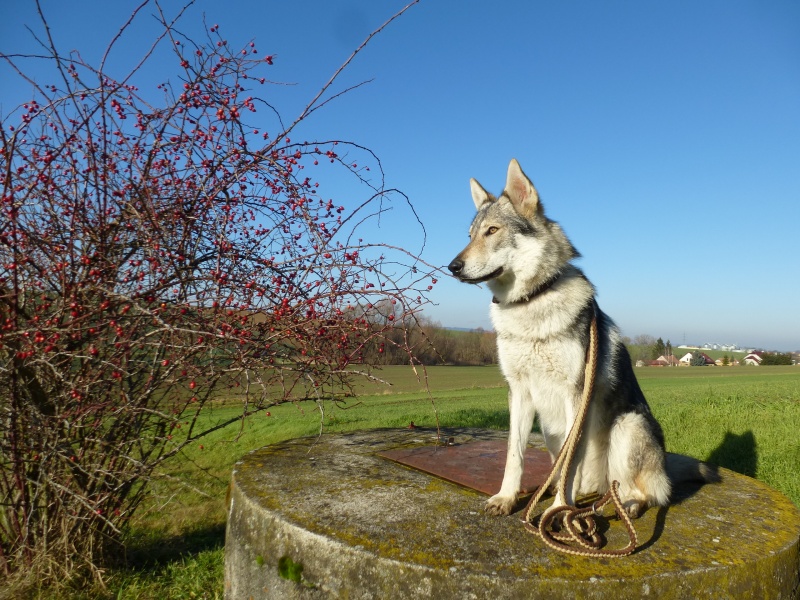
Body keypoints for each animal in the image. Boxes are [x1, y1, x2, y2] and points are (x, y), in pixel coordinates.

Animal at [446, 161, 716, 520]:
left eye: (492, 231)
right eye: (470, 236)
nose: (452, 266)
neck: (531, 302)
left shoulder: (575, 393)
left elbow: (569, 462)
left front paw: (559, 509)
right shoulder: (518, 391)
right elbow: (514, 456)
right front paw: (506, 498)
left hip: (625, 426)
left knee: (648, 493)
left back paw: (623, 507)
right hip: (552, 432)